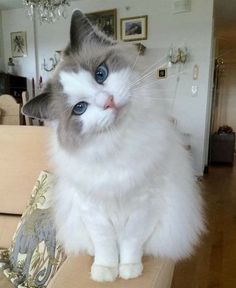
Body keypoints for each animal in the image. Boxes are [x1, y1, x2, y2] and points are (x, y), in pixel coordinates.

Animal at [23, 9, 205, 284]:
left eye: (101, 74)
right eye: (80, 108)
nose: (108, 102)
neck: (116, 142)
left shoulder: (144, 205)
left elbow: (131, 242)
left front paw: (129, 270)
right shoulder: (93, 213)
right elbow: (106, 246)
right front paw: (105, 272)